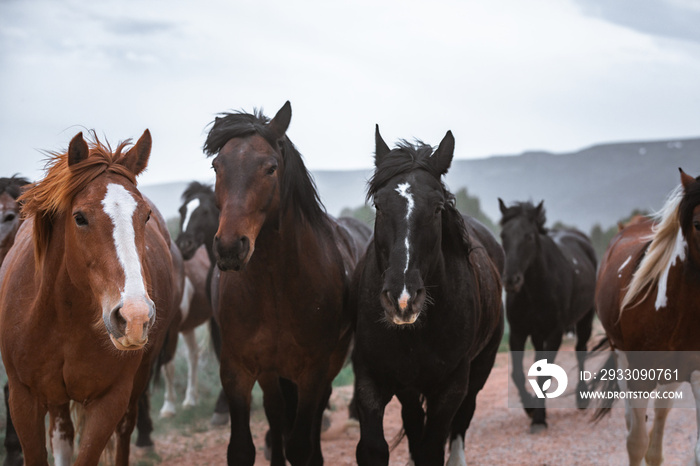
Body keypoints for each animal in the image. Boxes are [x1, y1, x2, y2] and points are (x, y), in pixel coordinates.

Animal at [0, 129, 183, 464]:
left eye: (145, 216)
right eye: (80, 217)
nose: (134, 317)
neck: (62, 316)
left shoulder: (109, 400)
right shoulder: (23, 398)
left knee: (124, 432)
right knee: (61, 435)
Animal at [202, 103, 370, 466]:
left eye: (270, 168)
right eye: (217, 166)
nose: (230, 247)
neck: (274, 287)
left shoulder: (313, 369)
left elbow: (300, 443)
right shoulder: (237, 369)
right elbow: (242, 448)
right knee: (276, 410)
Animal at [352, 127, 506, 466]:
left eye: (437, 207)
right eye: (379, 205)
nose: (402, 299)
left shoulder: (451, 386)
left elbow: (432, 448)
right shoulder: (371, 375)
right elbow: (374, 447)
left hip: (480, 367)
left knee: (462, 420)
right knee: (413, 421)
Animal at [498, 200, 596, 434]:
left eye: (529, 236)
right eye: (503, 235)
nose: (511, 280)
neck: (536, 287)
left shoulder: (554, 332)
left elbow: (544, 375)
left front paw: (539, 419)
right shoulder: (518, 331)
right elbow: (518, 373)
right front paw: (530, 408)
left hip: (586, 318)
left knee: (581, 350)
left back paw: (581, 397)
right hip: (537, 333)